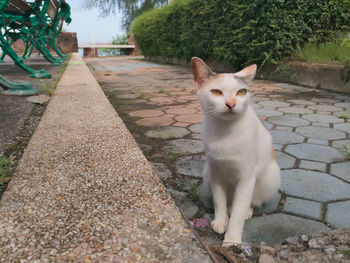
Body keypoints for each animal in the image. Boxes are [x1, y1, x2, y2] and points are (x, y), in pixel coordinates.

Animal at [193, 57, 280, 248]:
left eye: (241, 92)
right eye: (216, 92)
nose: (231, 104)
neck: (226, 132)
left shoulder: (247, 178)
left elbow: (238, 215)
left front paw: (232, 240)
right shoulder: (216, 171)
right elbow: (219, 201)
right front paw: (220, 221)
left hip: (270, 179)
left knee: (251, 201)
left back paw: (246, 210)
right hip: (207, 173)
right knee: (228, 202)